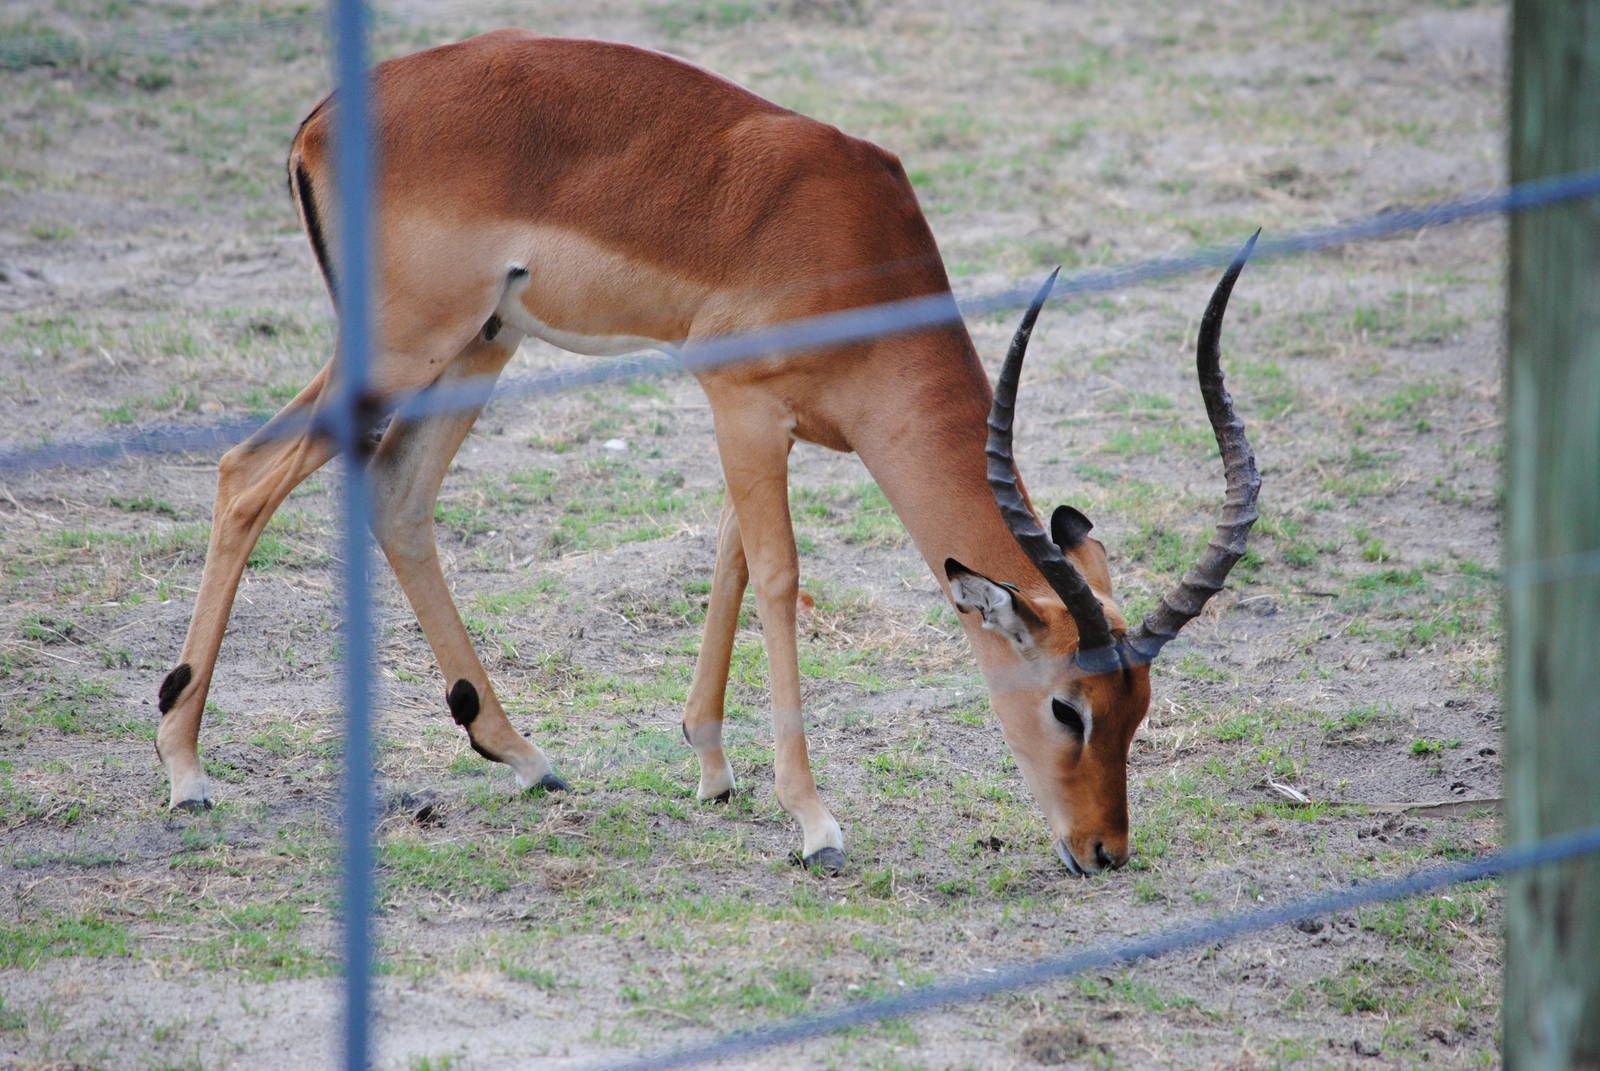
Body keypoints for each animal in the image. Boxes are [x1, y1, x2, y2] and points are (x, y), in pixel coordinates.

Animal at [153, 30, 1259, 876]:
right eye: (1069, 707)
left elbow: (727, 554)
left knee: (395, 495)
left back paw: (521, 753)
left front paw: (714, 767)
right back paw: (186, 769)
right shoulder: (741, 405)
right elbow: (776, 575)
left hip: (479, 347)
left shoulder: (767, 423)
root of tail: (323, 116)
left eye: (1140, 706)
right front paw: (814, 823)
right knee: (246, 472)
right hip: (402, 350)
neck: (855, 248)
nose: (1104, 849)